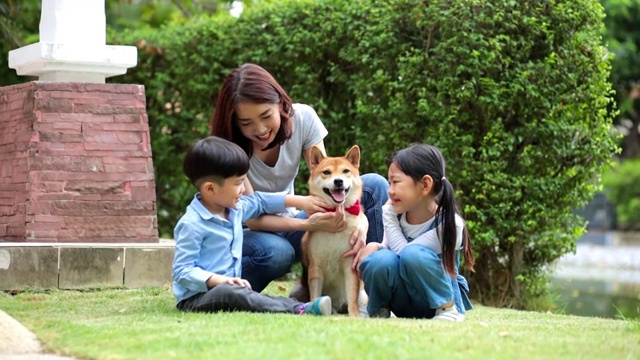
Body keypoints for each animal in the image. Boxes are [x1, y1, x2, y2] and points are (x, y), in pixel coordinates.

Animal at [300, 145, 364, 316]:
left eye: (346, 171)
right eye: (326, 172)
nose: (338, 181)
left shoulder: (350, 266)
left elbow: (352, 298)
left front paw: (355, 316)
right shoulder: (316, 267)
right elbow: (315, 293)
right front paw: (313, 307)